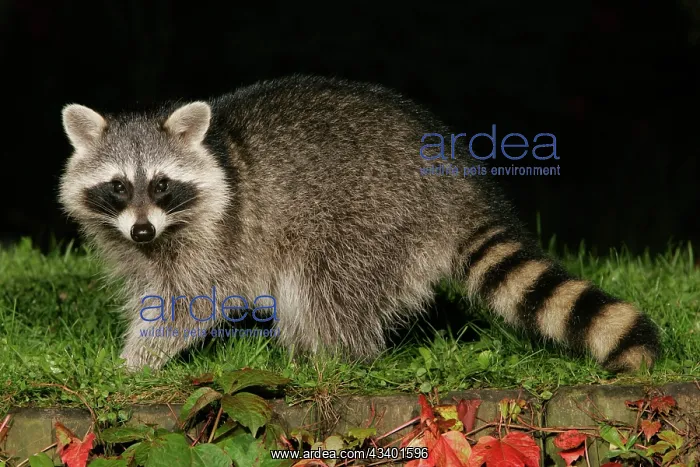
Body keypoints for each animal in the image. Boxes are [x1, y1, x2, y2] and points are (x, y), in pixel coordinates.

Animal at [58, 75, 660, 372]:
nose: (141, 231)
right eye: (118, 186)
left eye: (161, 184)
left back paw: (333, 359)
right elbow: (152, 291)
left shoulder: (215, 236)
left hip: (371, 217)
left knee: (329, 285)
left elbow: (190, 302)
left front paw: (135, 362)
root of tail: (461, 185)